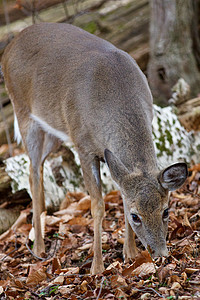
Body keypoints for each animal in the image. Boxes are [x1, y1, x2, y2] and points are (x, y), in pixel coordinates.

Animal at [1, 22, 188, 274]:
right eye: (136, 216)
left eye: (166, 210)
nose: (160, 254)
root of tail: (9, 47)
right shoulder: (83, 146)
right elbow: (97, 206)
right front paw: (97, 267)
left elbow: (121, 194)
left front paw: (130, 253)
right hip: (23, 113)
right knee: (32, 173)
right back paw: (39, 248)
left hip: (53, 131)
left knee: (37, 168)